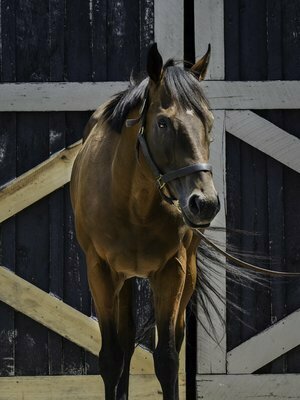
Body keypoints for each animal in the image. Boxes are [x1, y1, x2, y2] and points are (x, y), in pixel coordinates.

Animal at [70, 42, 220, 398]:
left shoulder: (172, 271)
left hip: (186, 273)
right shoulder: (100, 271)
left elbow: (167, 359)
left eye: (208, 121)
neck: (132, 206)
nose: (205, 204)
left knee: (174, 338)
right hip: (122, 279)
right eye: (163, 123)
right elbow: (112, 358)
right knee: (124, 344)